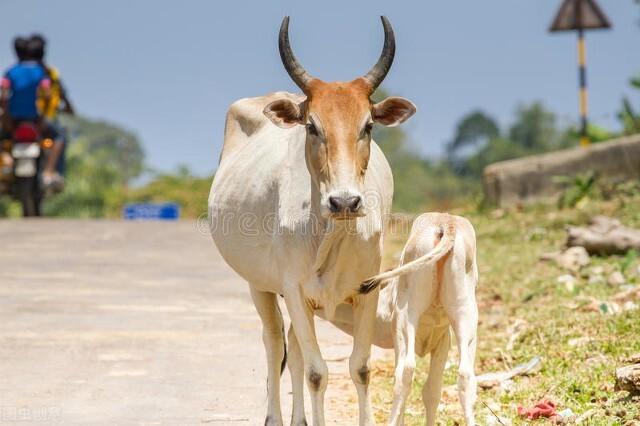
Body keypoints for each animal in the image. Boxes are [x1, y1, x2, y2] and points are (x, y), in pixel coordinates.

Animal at [208, 15, 418, 426]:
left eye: (368, 126)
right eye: (312, 127)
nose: (344, 201)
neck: (330, 235)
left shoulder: (367, 289)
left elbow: (359, 367)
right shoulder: (294, 290)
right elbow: (317, 372)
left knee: (292, 350)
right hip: (260, 285)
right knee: (275, 345)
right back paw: (276, 417)